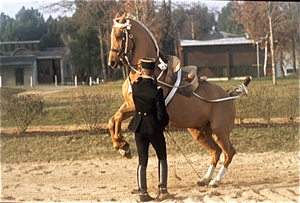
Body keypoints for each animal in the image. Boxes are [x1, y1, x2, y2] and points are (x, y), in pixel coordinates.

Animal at [108, 12, 251, 187]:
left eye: (120, 36)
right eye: (111, 35)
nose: (112, 62)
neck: (145, 75)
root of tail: (228, 96)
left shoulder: (139, 107)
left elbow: (118, 117)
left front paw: (123, 145)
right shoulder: (131, 104)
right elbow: (113, 119)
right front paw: (122, 145)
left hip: (220, 132)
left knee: (229, 152)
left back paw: (215, 181)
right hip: (200, 132)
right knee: (216, 152)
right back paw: (205, 179)